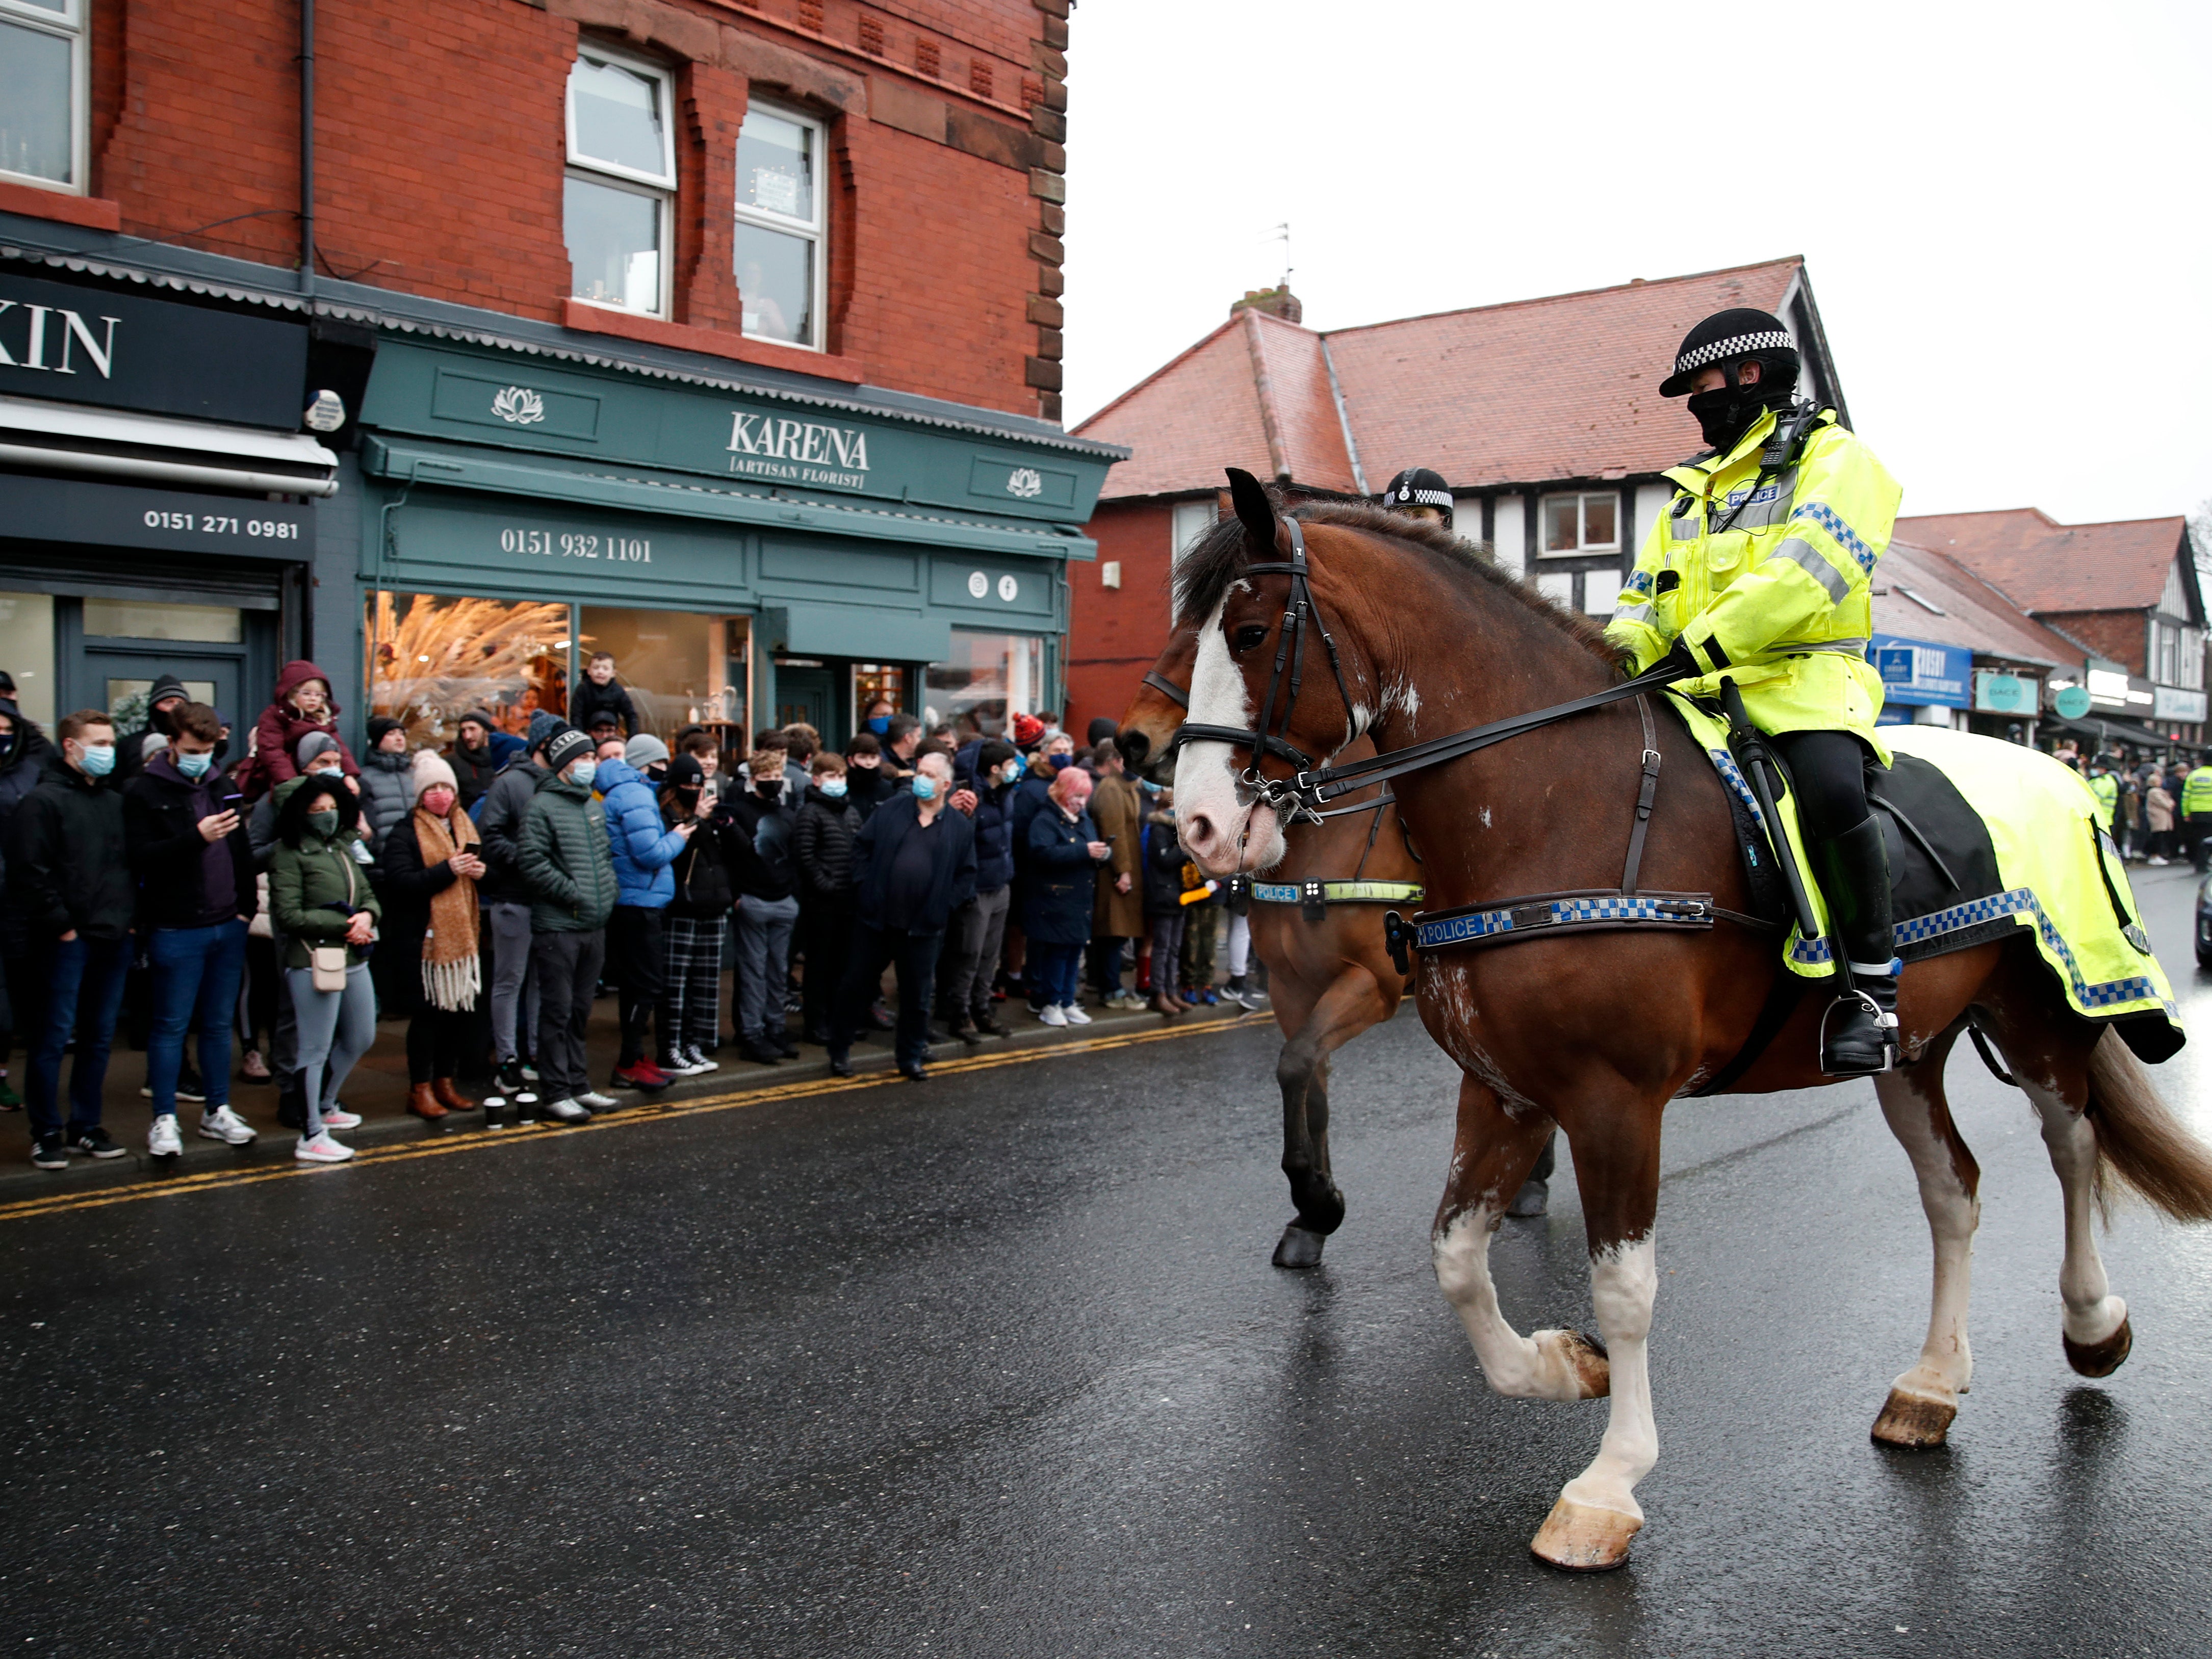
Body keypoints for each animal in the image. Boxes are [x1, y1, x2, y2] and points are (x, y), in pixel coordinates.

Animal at [1123, 624, 1416, 1274]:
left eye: (1211, 649)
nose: (1130, 738)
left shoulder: (1374, 980)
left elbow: (1297, 1063)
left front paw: (1316, 1198)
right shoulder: (1291, 985)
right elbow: (1311, 1085)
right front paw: (1315, 1213)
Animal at [1176, 480, 2212, 1575]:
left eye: (1248, 632)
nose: (1195, 828)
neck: (1552, 806)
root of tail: (2059, 775)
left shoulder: (1613, 1098)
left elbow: (1624, 1286)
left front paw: (1606, 1484)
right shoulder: (1502, 1087)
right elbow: (1456, 1259)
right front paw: (1558, 1364)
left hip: (2039, 1016)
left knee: (2073, 1144)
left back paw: (2092, 1321)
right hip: (1911, 1050)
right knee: (1953, 1190)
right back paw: (1930, 1382)